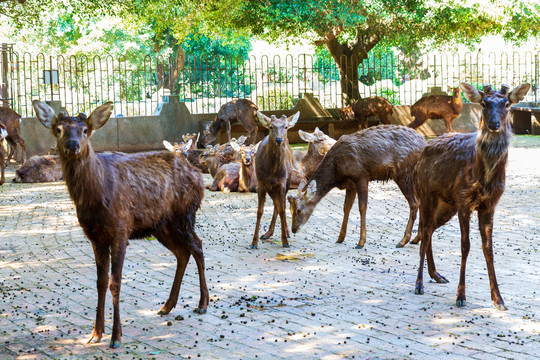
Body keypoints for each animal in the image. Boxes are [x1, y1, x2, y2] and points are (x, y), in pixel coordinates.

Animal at [32, 100, 209, 348]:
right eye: (58, 129)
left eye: (85, 130)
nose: (72, 144)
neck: (94, 199)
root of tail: (199, 175)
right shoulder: (95, 237)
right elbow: (100, 281)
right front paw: (96, 333)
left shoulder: (120, 230)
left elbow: (115, 282)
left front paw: (116, 337)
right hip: (162, 227)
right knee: (183, 253)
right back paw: (166, 306)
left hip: (184, 214)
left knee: (198, 246)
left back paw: (202, 304)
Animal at [252, 111, 300, 249]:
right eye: (271, 127)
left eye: (286, 127)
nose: (279, 139)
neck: (272, 172)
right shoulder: (261, 184)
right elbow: (259, 212)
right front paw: (254, 242)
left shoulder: (281, 183)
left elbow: (282, 209)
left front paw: (285, 241)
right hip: (271, 188)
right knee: (276, 204)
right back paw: (267, 233)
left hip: (287, 180)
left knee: (281, 204)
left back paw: (286, 232)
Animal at [286, 125, 426, 249]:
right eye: (290, 210)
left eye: (299, 210)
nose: (293, 229)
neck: (336, 172)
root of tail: (423, 144)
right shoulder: (350, 184)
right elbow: (346, 207)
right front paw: (340, 238)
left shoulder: (361, 176)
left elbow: (362, 207)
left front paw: (361, 242)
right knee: (420, 202)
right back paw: (416, 238)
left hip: (403, 172)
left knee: (414, 203)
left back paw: (403, 240)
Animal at [414, 82, 528, 310]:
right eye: (484, 103)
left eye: (507, 104)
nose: (493, 124)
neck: (483, 179)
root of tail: (422, 154)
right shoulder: (464, 201)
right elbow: (465, 246)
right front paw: (461, 296)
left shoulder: (489, 205)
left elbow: (489, 249)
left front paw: (499, 299)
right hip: (426, 195)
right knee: (424, 230)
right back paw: (419, 283)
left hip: (446, 205)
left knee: (428, 230)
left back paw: (436, 275)